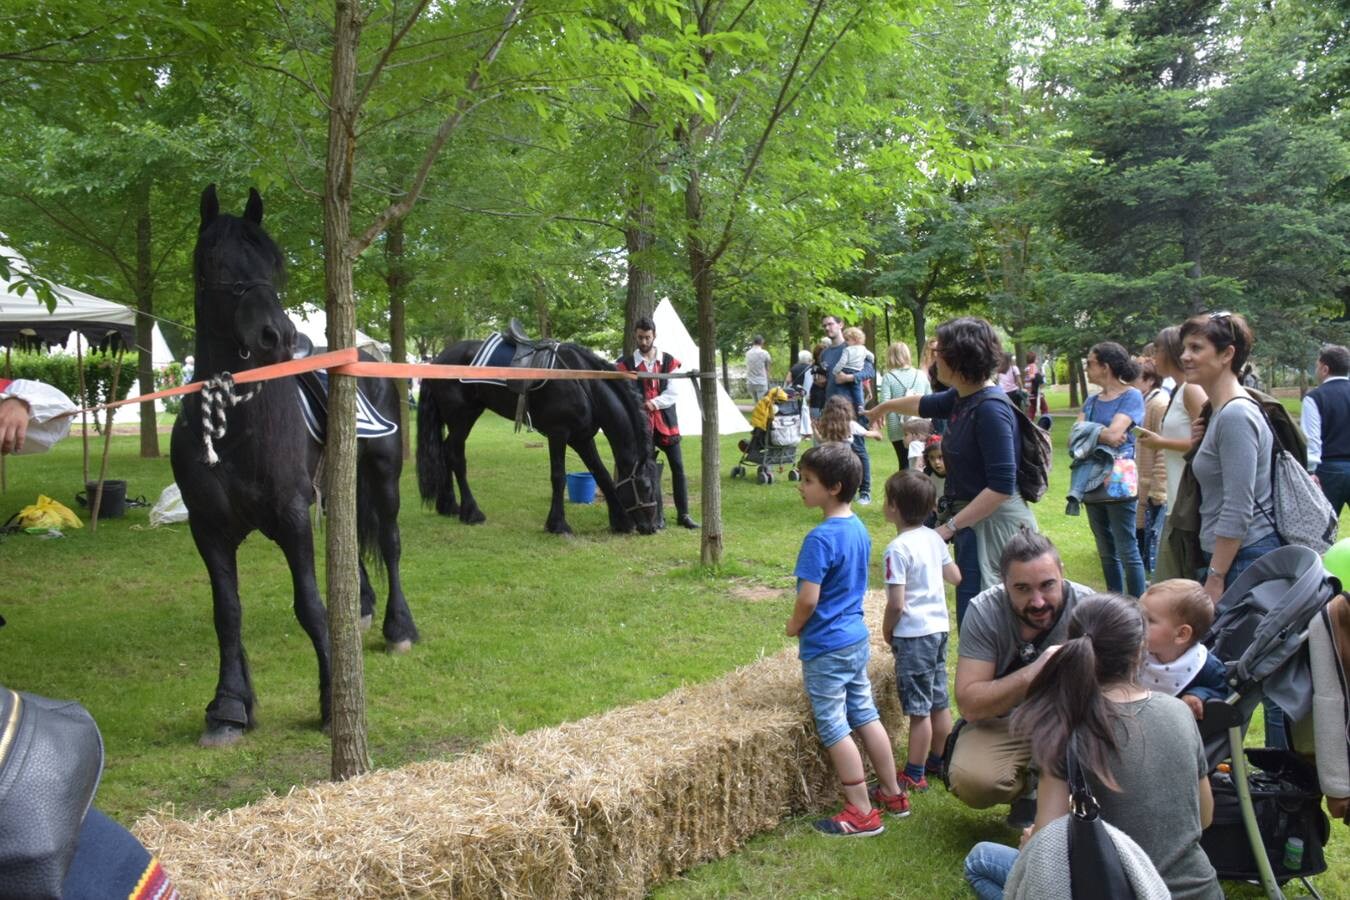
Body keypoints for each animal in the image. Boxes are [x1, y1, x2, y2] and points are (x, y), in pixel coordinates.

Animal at [171, 183, 418, 744]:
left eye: (272, 262)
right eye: (211, 260)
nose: (276, 335)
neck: (235, 425)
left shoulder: (290, 517)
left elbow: (309, 604)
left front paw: (332, 703)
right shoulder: (207, 527)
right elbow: (227, 611)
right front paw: (229, 707)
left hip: (383, 475)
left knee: (391, 543)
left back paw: (399, 627)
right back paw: (362, 609)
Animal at [413, 337, 661, 534]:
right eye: (647, 487)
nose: (651, 527)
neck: (584, 384)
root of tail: (437, 360)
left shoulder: (582, 438)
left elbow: (602, 474)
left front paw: (620, 521)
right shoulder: (558, 433)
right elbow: (559, 477)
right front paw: (558, 524)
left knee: (445, 452)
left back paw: (449, 506)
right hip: (461, 418)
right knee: (454, 455)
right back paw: (471, 512)